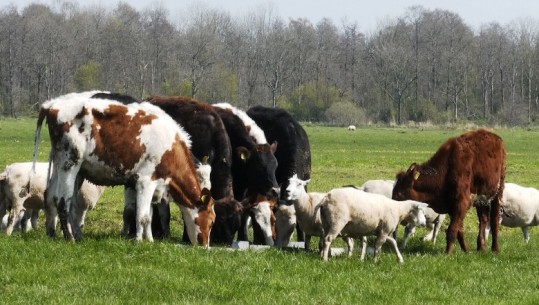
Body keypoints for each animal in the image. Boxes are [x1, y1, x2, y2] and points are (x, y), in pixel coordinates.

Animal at [32, 89, 215, 245]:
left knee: (52, 197)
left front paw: (149, 239)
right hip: (69, 164)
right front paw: (139, 241)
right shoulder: (145, 181)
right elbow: (142, 216)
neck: (170, 146)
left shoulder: (150, 184)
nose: (205, 246)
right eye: (211, 221)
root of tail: (51, 105)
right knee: (63, 201)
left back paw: (55, 233)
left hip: (62, 165)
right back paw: (70, 237)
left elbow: (148, 214)